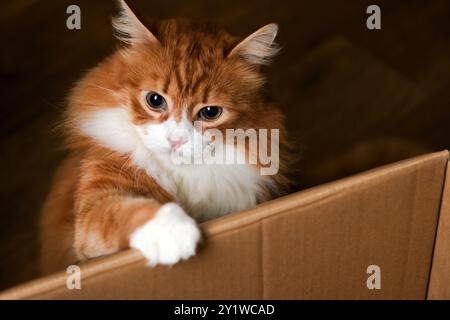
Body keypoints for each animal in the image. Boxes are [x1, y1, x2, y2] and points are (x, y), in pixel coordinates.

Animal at [39, 0, 292, 276]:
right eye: (154, 100)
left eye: (210, 112)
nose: (176, 140)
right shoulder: (96, 201)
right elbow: (124, 211)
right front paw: (173, 232)